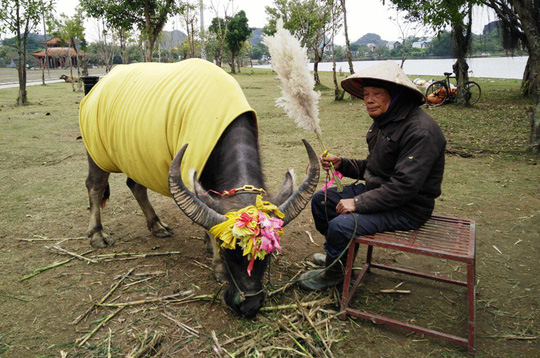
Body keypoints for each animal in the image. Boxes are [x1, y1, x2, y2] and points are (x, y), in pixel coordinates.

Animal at [78, 59, 318, 318]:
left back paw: (157, 225)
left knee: (135, 186)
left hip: (135, 159)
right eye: (227, 249)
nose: (249, 306)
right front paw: (216, 263)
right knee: (95, 186)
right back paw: (97, 234)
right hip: (97, 153)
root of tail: (97, 88)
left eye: (269, 250)